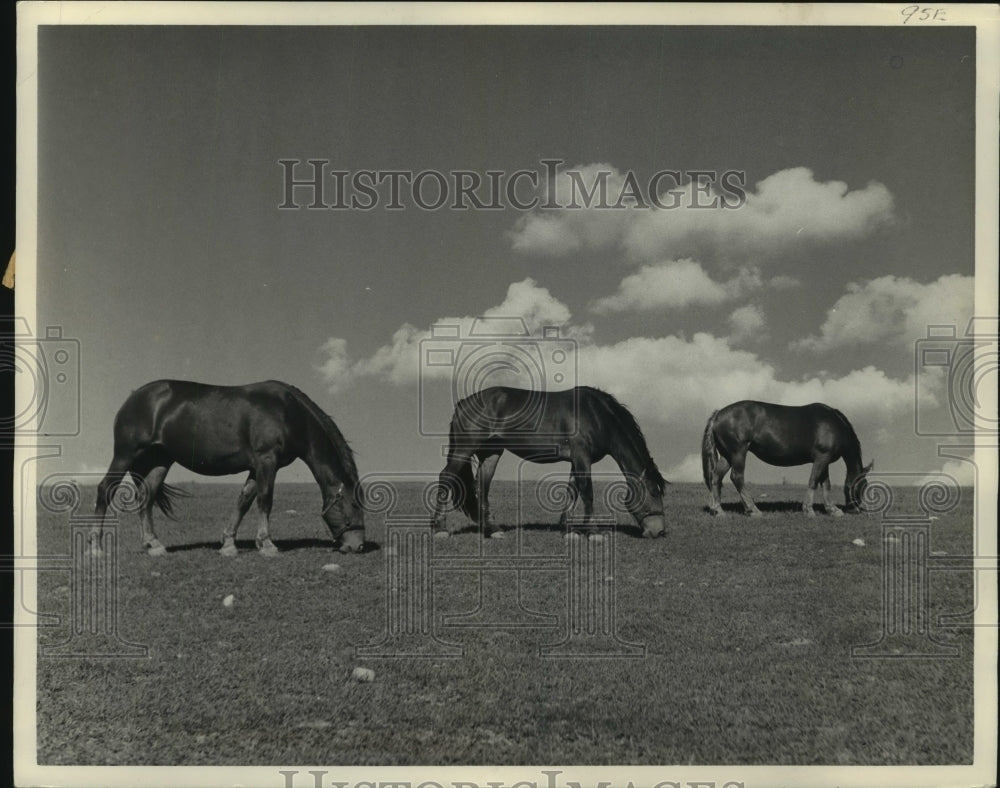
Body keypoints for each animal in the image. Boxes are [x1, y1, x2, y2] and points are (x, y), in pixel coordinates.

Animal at [93, 380, 366, 556]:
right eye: (353, 505)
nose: (358, 546)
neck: (287, 412)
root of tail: (133, 397)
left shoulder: (257, 467)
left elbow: (244, 501)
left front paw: (228, 544)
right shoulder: (267, 460)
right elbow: (265, 499)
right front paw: (267, 544)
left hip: (159, 461)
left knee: (146, 497)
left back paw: (154, 545)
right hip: (125, 454)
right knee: (105, 489)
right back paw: (95, 547)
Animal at [431, 386, 667, 538]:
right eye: (654, 492)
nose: (659, 531)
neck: (596, 414)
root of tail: (463, 403)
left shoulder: (577, 460)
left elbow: (572, 490)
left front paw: (569, 529)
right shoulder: (582, 456)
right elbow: (587, 492)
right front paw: (593, 532)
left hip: (490, 454)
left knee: (482, 487)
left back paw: (492, 530)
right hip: (464, 449)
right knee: (446, 477)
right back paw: (440, 528)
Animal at [701, 400, 872, 517]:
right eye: (862, 486)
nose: (857, 510)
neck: (834, 425)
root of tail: (719, 414)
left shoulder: (824, 460)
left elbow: (825, 484)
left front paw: (832, 509)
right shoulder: (821, 458)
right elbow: (813, 481)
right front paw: (808, 509)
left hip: (727, 456)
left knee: (716, 477)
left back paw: (718, 510)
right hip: (738, 452)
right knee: (737, 477)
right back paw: (753, 509)